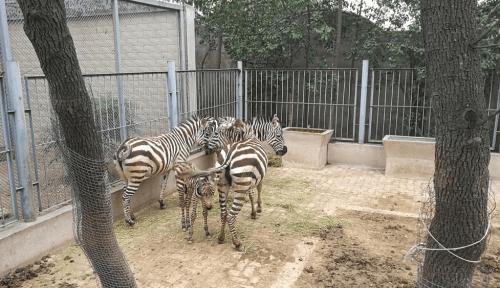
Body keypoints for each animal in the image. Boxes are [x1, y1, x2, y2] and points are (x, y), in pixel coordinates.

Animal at [179, 118, 268, 251]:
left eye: (214, 133)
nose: (207, 150)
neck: (248, 136)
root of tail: (229, 154)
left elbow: (251, 194)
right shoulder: (255, 179)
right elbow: (257, 190)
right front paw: (256, 210)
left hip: (222, 185)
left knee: (223, 213)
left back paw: (221, 237)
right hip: (240, 187)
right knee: (231, 216)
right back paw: (237, 243)